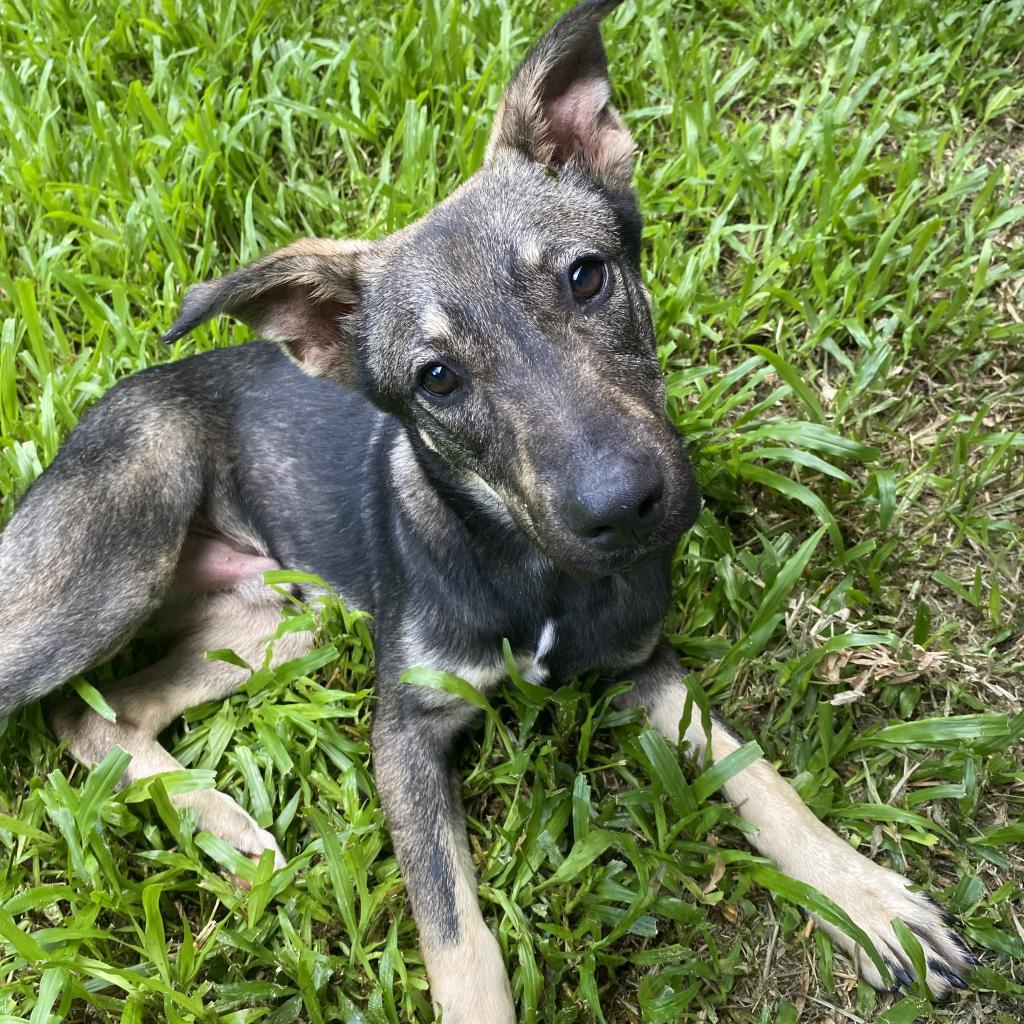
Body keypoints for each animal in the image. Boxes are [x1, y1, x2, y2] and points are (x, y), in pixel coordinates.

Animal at [0, 4, 974, 1019]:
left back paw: (220, 822)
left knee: (101, 717)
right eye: (437, 378)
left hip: (280, 620)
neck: (525, 563)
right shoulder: (404, 733)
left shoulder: (644, 663)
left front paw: (863, 896)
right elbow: (459, 936)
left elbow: (759, 775)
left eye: (587, 277)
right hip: (112, 568)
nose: (625, 510)